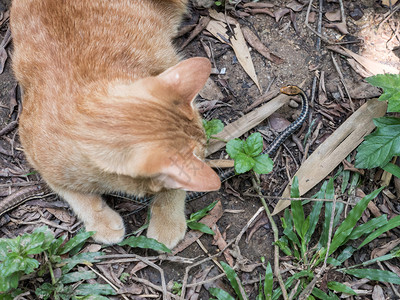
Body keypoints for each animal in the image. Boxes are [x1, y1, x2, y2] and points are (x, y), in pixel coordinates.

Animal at [10, 0, 222, 248]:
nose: (207, 152)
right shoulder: (39, 160)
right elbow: (73, 193)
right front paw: (101, 221)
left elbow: (176, 188)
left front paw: (168, 221)